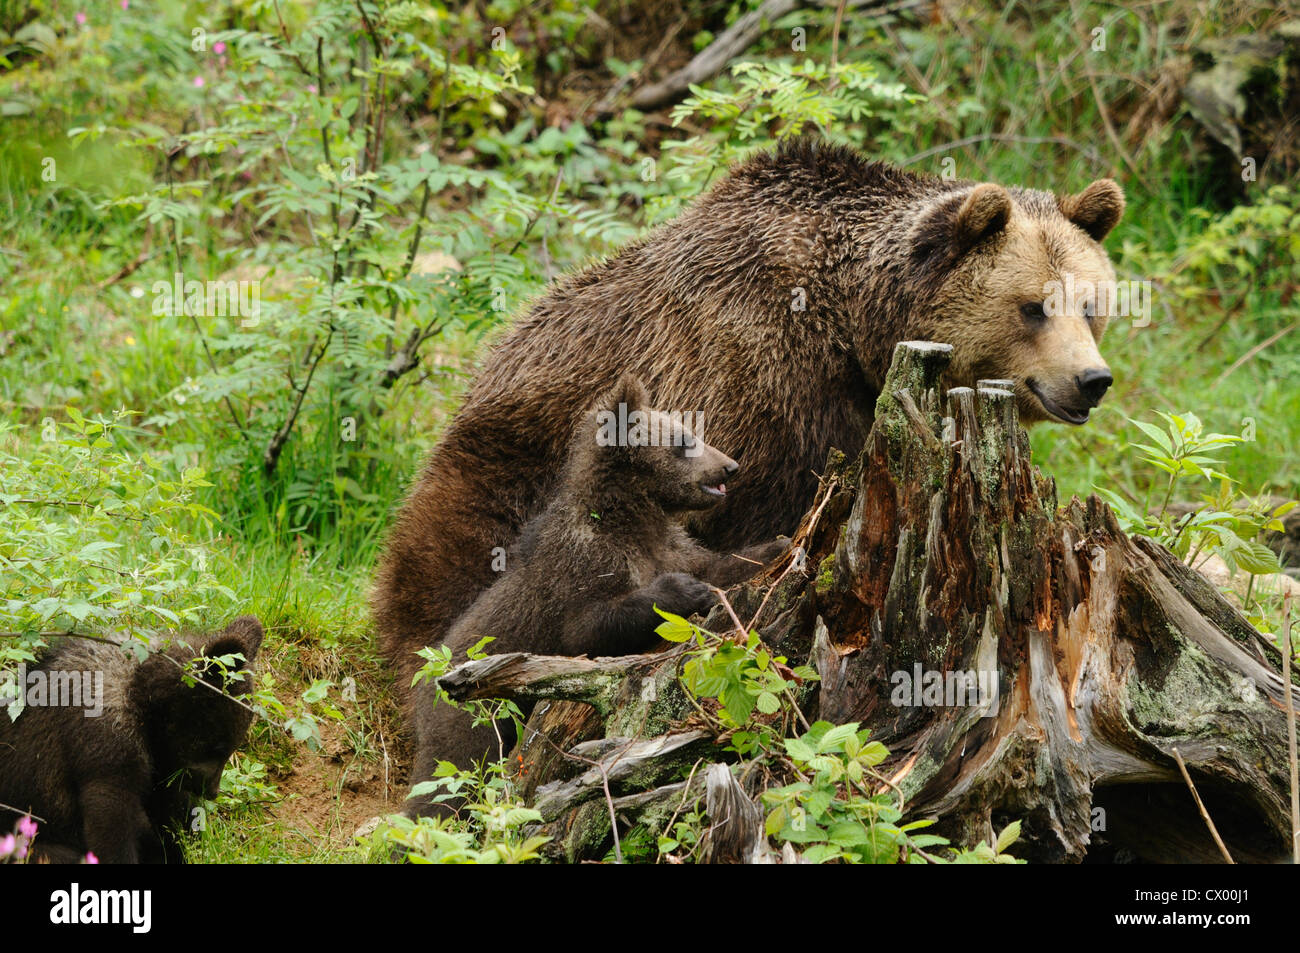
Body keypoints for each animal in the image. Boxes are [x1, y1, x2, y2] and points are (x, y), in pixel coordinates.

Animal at [0, 615, 263, 863]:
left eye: (232, 746)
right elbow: (111, 816)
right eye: (218, 746)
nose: (212, 791)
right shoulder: (103, 741)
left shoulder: (159, 762)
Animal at [374, 137, 1125, 730]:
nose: (1091, 379)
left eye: (1090, 303)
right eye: (1032, 307)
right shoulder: (763, 383)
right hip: (511, 453)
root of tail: (485, 368)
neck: (854, 327)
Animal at [405, 375, 787, 816]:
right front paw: (685, 591)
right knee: (444, 783)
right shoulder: (583, 567)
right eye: (684, 440)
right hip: (471, 716)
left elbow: (719, 564)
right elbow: (589, 626)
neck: (634, 517)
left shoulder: (674, 546)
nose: (731, 466)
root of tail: (424, 690)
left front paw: (777, 546)